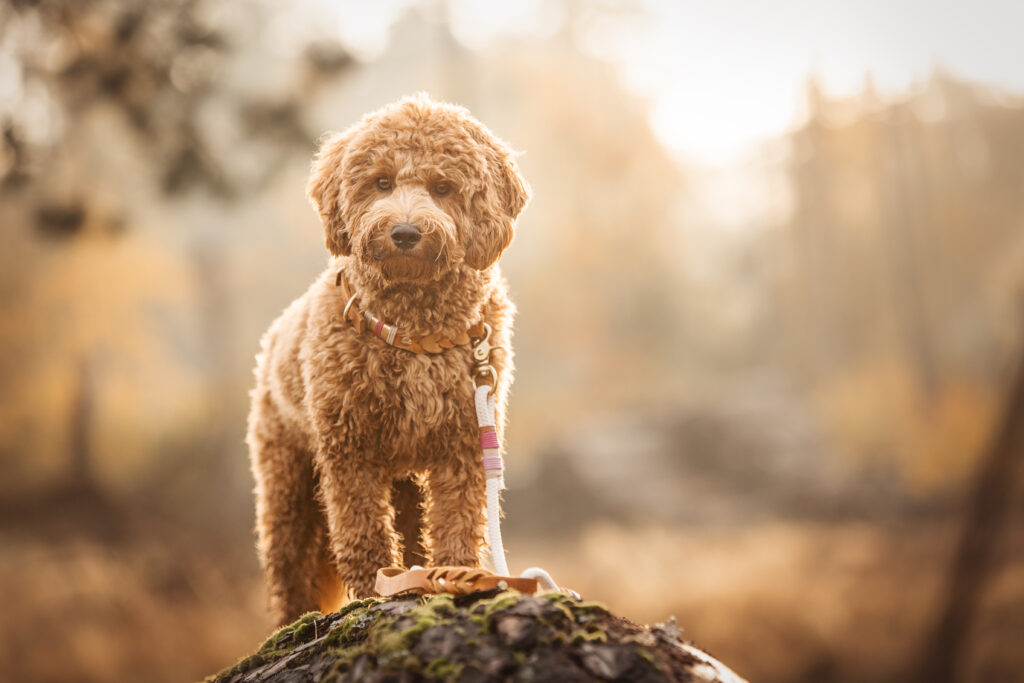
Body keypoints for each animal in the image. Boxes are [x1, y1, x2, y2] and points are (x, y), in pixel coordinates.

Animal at [246, 96, 528, 626]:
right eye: (380, 182)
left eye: (443, 188)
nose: (405, 232)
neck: (415, 330)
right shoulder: (349, 448)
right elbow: (361, 528)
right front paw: (372, 591)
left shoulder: (464, 443)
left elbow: (458, 519)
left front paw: (458, 575)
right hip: (287, 482)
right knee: (289, 561)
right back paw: (294, 618)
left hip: (405, 485)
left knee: (414, 532)